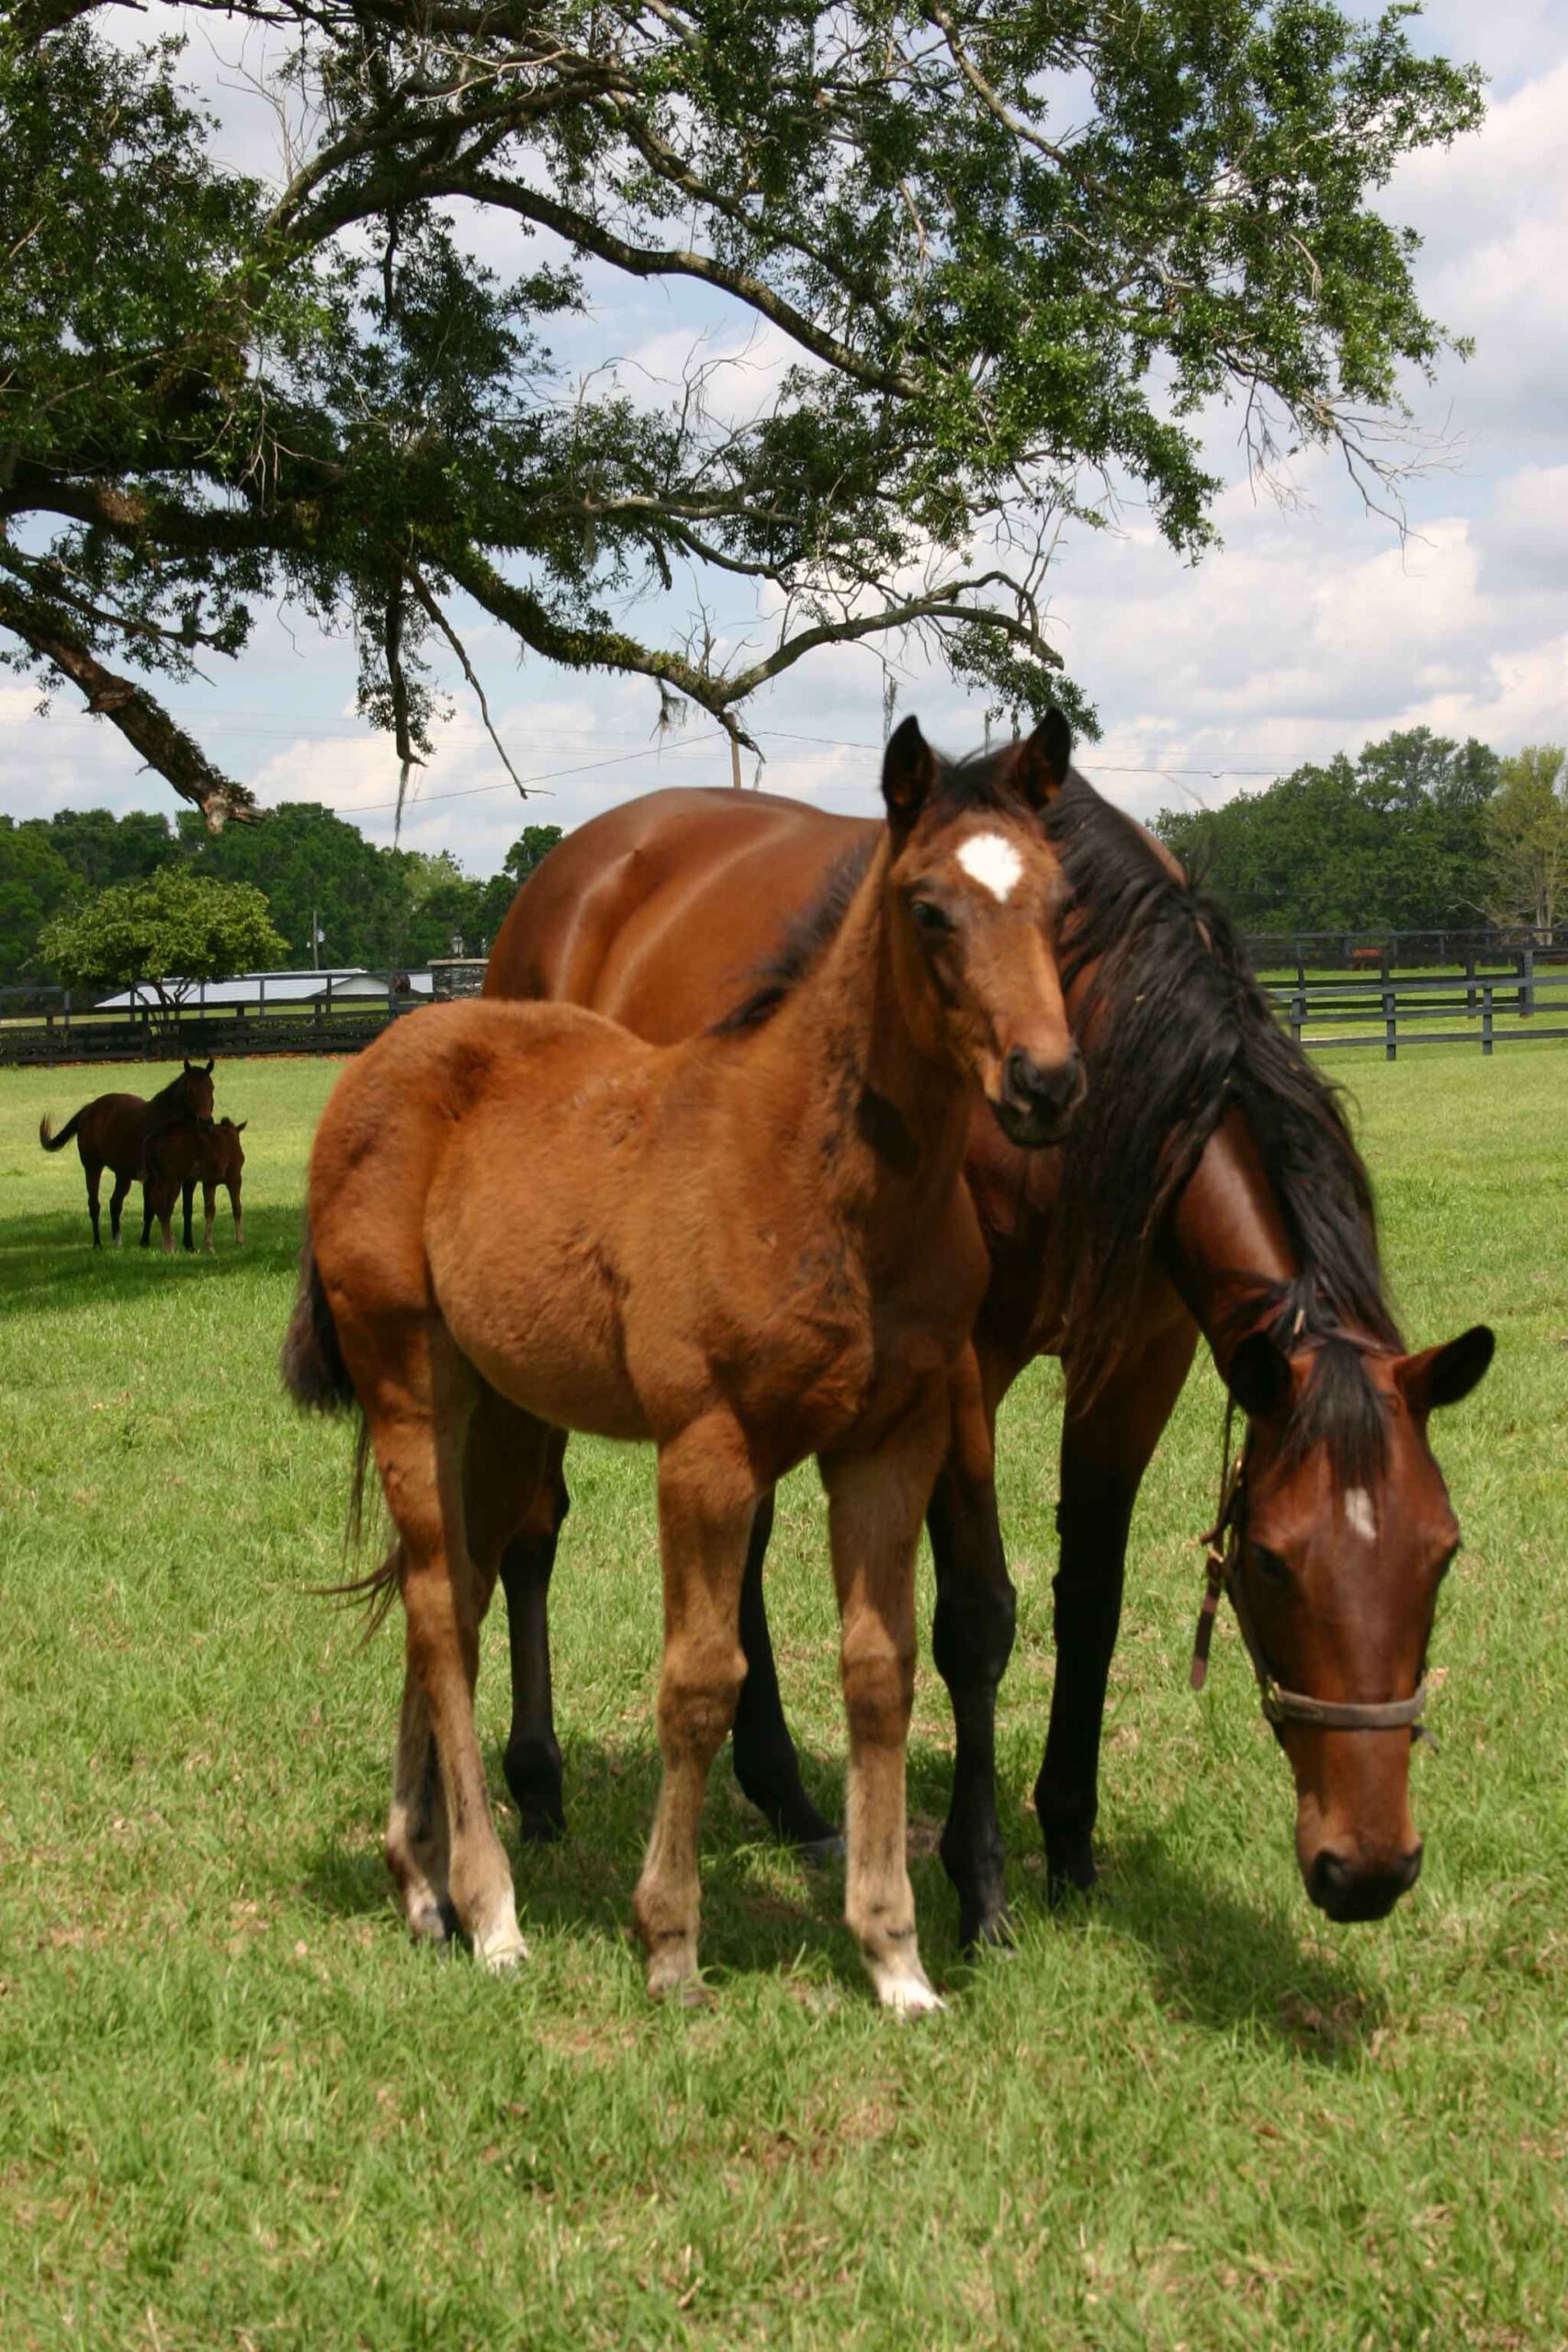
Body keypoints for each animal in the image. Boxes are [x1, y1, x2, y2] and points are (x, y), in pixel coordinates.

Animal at [39, 1068, 216, 1250]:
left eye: (211, 1088)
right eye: (190, 1090)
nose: (206, 1122)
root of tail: (89, 1109)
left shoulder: (188, 1180)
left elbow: (187, 1209)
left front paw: (189, 1245)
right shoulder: (151, 1179)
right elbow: (150, 1209)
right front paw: (145, 1242)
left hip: (122, 1175)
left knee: (115, 1204)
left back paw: (117, 1242)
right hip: (92, 1167)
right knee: (94, 1205)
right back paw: (97, 1244)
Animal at [285, 719, 1081, 2004]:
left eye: (1059, 903)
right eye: (927, 908)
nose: (1046, 1085)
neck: (818, 1180)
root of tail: (383, 1052)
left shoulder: (892, 1440)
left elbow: (881, 1670)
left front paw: (896, 1958)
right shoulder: (708, 1448)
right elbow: (701, 1680)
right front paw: (670, 1943)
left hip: (503, 1405)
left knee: (452, 1587)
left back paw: (418, 1881)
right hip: (409, 1376)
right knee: (441, 1607)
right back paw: (491, 1910)